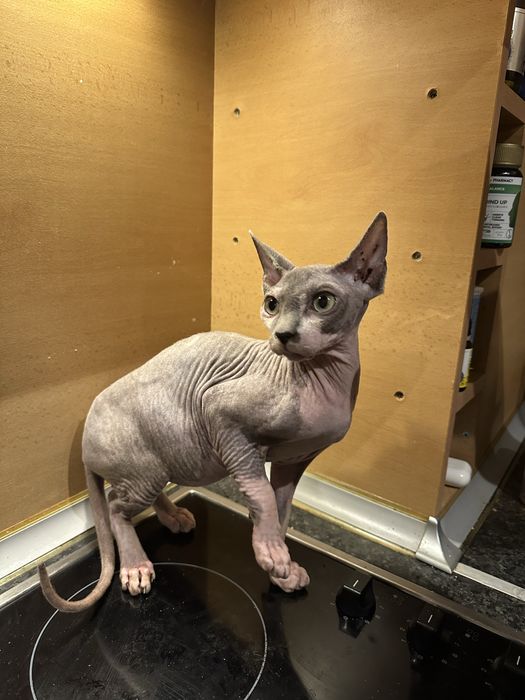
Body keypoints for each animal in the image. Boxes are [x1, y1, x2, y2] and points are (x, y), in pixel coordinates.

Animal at [39, 212, 387, 612]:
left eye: (323, 301)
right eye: (272, 304)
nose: (282, 335)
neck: (325, 382)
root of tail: (84, 435)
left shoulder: (295, 460)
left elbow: (282, 509)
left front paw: (281, 567)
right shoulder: (219, 410)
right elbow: (261, 494)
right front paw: (270, 554)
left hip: (155, 462)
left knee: (134, 494)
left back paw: (173, 516)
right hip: (144, 463)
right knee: (115, 507)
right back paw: (135, 565)